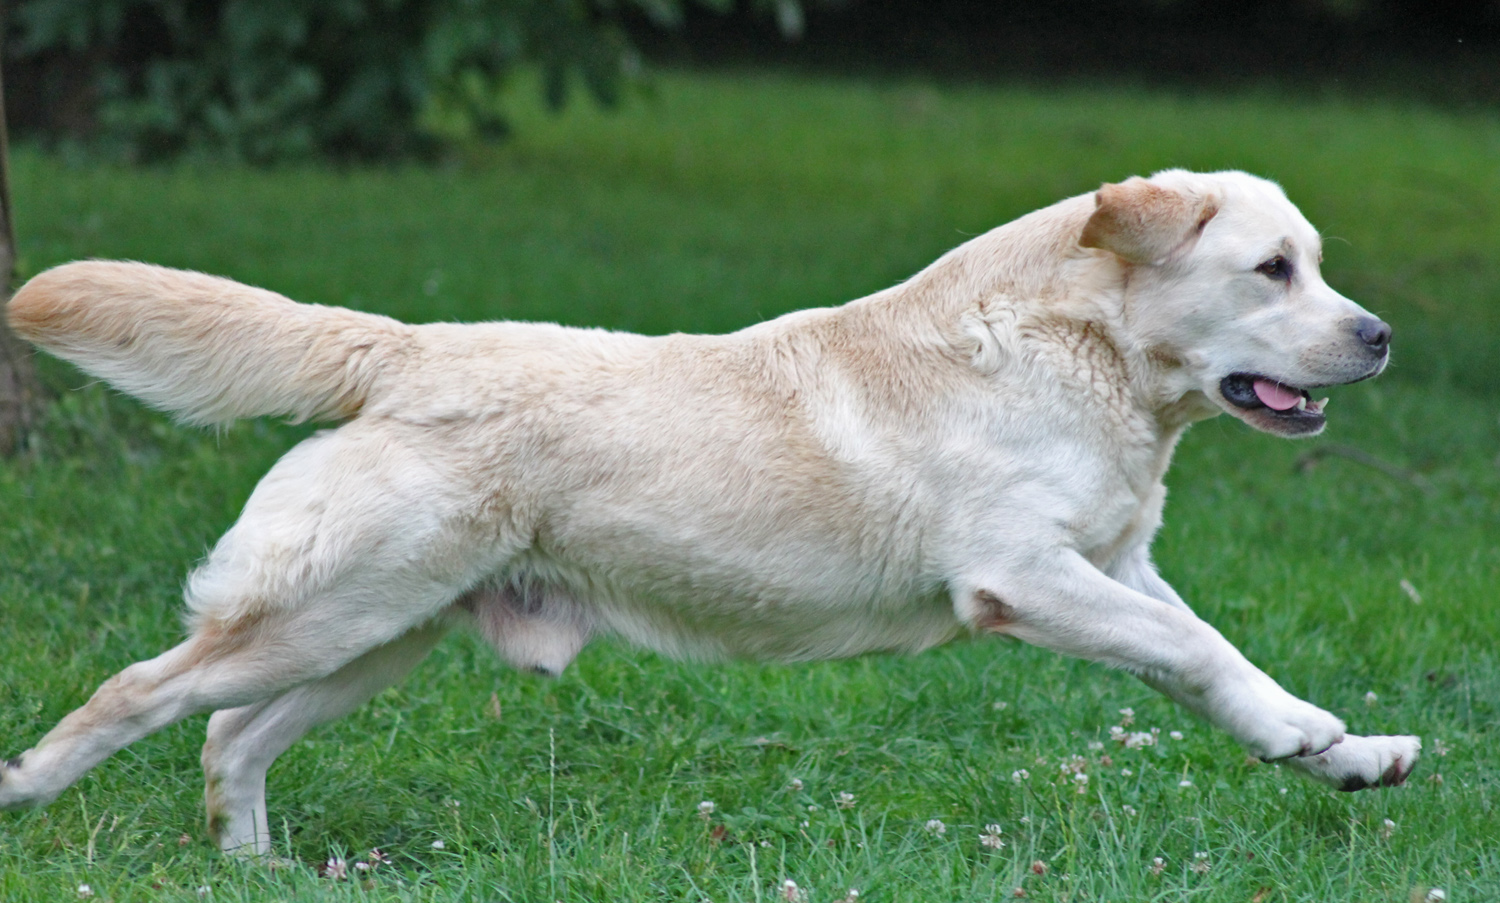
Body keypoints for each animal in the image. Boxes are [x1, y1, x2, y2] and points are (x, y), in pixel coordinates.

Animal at [2, 170, 1419, 854]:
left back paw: (261, 874)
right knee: (140, 695)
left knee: (226, 740)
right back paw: (27, 791)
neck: (1077, 354)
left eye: (1317, 265)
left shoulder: (1120, 564)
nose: (1381, 336)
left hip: (377, 636)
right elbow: (1197, 649)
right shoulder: (1026, 577)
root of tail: (407, 346)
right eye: (1271, 270)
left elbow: (1211, 656)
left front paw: (1340, 752)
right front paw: (1311, 736)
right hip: (327, 617)